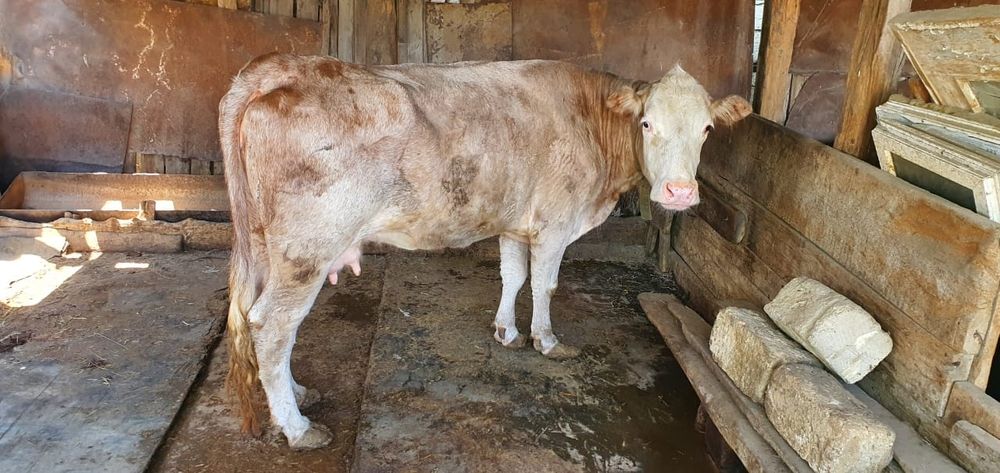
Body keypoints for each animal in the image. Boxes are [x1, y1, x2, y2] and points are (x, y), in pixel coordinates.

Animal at [219, 53, 751, 449]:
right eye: (646, 123)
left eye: (707, 129)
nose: (679, 192)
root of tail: (282, 67)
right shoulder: (555, 224)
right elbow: (545, 284)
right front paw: (546, 341)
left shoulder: (517, 223)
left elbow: (513, 277)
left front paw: (506, 331)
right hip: (306, 250)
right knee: (272, 327)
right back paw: (298, 427)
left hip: (265, 248)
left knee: (262, 322)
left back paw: (297, 393)